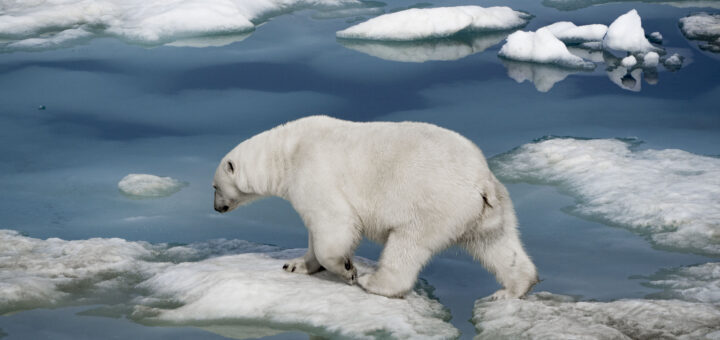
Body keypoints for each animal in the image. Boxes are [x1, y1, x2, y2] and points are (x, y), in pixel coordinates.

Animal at [215, 115, 540, 298]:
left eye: (215, 187)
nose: (217, 208)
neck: (287, 150)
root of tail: (481, 181)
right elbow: (316, 230)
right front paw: (295, 264)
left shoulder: (314, 171)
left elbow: (335, 223)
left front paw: (347, 269)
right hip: (488, 210)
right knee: (496, 244)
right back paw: (512, 289)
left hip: (435, 203)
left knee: (408, 244)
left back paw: (374, 282)